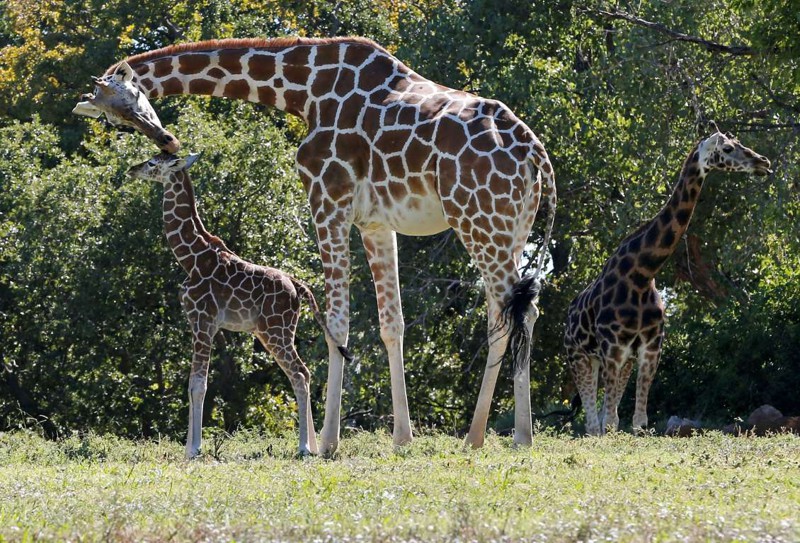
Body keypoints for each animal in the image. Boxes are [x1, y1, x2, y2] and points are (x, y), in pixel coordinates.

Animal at [128, 153, 350, 460]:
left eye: (152, 163)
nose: (132, 169)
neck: (190, 258)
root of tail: (298, 287)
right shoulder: (196, 323)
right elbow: (193, 382)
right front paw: (188, 447)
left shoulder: (204, 320)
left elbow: (199, 384)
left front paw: (194, 449)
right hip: (275, 332)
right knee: (301, 373)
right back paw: (313, 446)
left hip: (275, 331)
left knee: (299, 373)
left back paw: (304, 447)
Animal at [564, 130, 768, 436]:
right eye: (728, 149)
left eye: (740, 143)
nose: (763, 162)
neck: (640, 275)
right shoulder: (612, 346)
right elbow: (610, 421)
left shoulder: (649, 347)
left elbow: (638, 422)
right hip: (578, 355)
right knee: (592, 422)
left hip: (614, 359)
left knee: (599, 418)